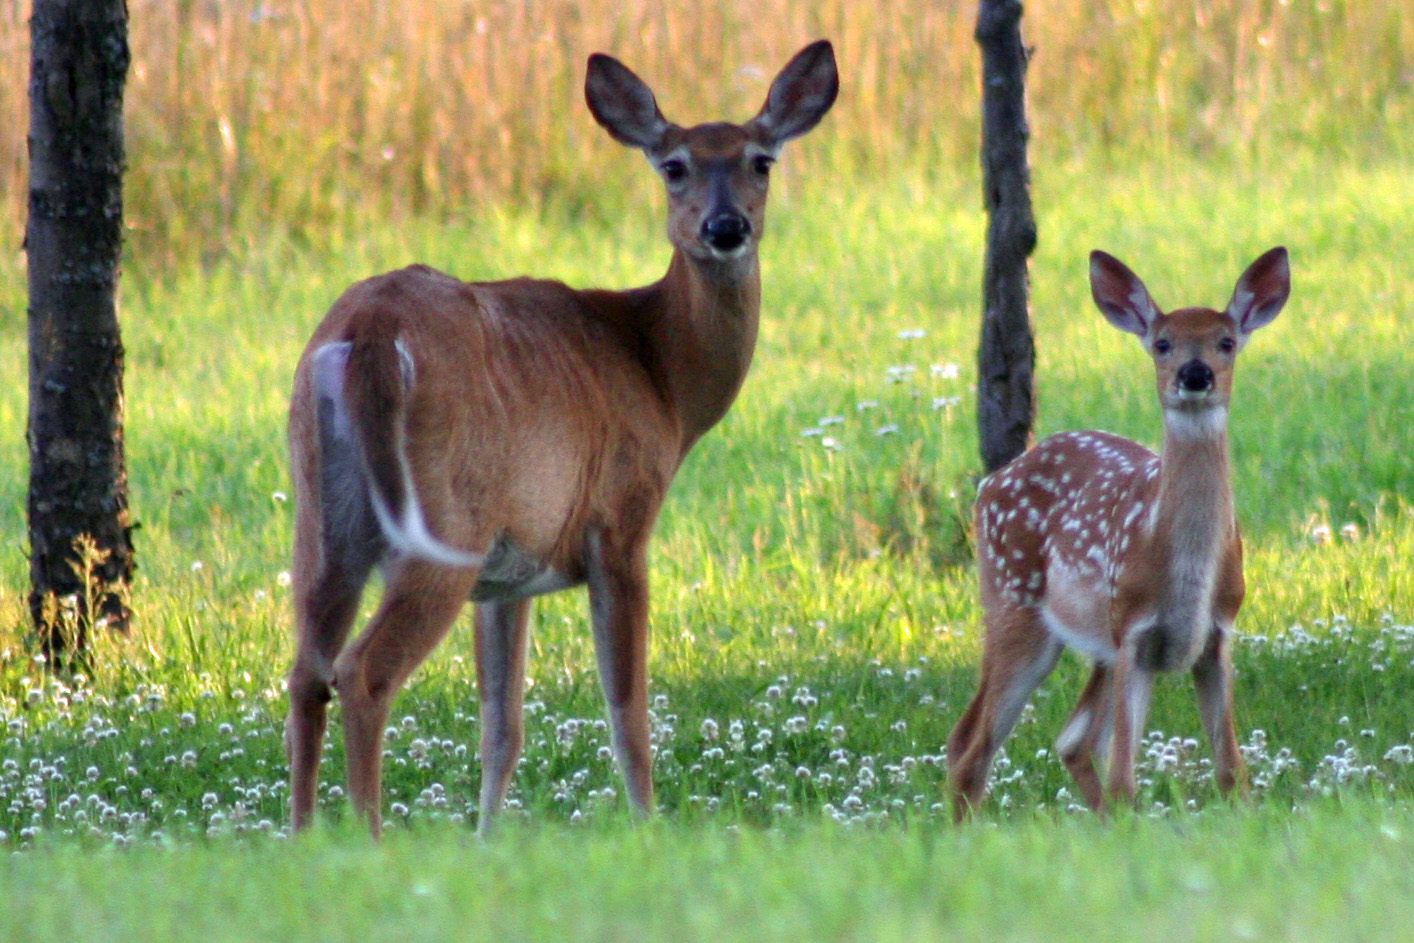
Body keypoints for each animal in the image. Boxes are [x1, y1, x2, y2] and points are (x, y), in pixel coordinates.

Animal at [287, 42, 837, 831]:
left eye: (761, 160)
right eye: (674, 166)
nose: (726, 226)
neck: (661, 373)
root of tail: (369, 334)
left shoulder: (509, 572)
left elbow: (502, 727)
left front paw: (485, 838)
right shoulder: (620, 521)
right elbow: (627, 709)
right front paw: (647, 826)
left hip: (323, 513)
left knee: (306, 672)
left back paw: (302, 836)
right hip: (444, 521)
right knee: (363, 671)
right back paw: (368, 836)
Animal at [950, 248, 1295, 820]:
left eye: (1226, 341)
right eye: (1162, 342)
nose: (1195, 373)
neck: (1187, 571)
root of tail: (990, 482)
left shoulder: (1217, 633)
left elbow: (1231, 771)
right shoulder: (1132, 629)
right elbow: (1124, 778)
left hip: (1097, 647)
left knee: (1069, 741)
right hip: (1015, 605)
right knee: (972, 745)